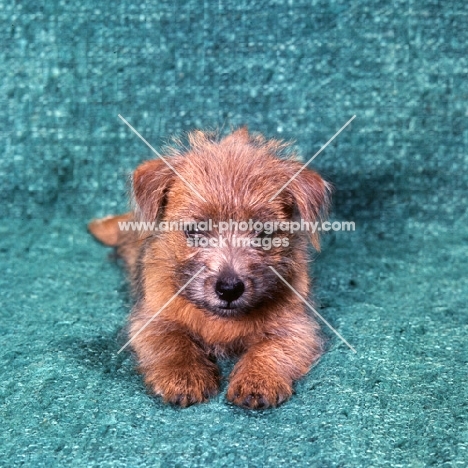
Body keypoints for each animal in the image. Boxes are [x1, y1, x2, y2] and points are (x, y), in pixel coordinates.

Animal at [88, 128, 330, 410]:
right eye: (194, 231)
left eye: (264, 233)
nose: (229, 288)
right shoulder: (151, 319)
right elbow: (173, 341)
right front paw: (184, 377)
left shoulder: (297, 326)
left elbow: (273, 347)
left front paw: (258, 378)